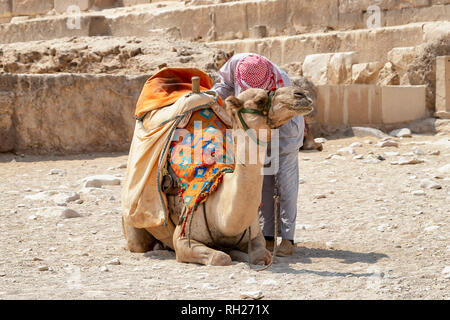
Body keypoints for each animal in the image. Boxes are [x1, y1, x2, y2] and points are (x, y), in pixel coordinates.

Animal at [121, 84, 314, 264]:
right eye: (259, 100)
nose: (302, 94)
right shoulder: (183, 239)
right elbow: (220, 258)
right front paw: (227, 253)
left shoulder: (254, 236)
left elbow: (261, 255)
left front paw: (237, 252)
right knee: (138, 243)